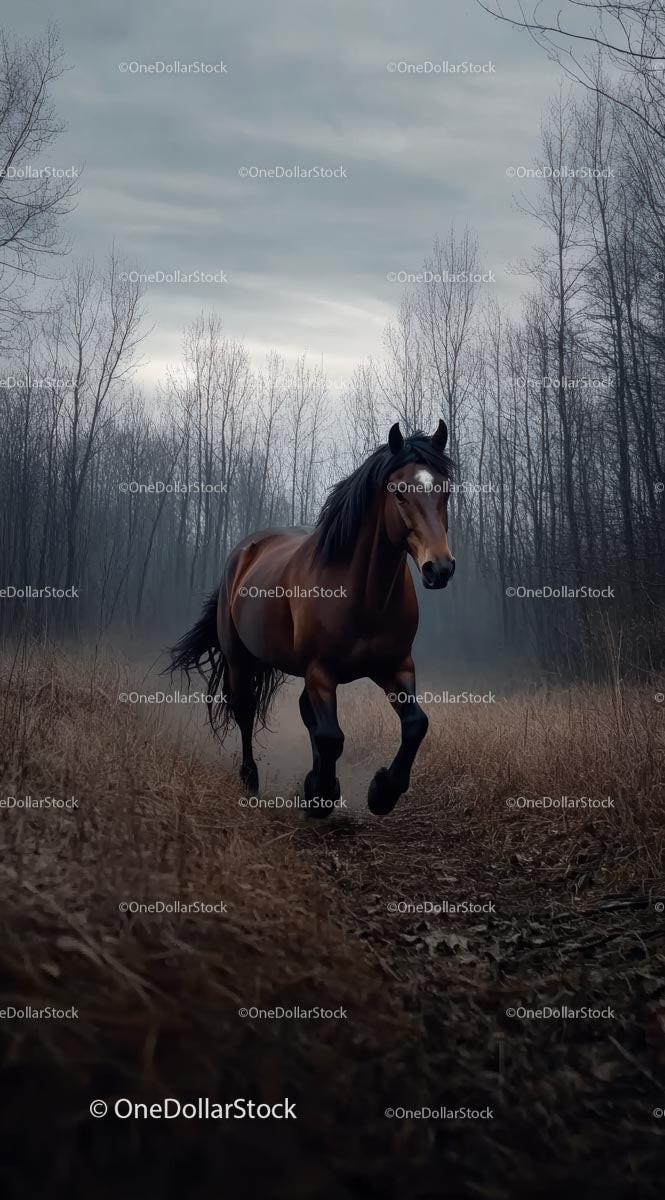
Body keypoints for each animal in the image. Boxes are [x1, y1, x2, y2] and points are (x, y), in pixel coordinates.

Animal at [170, 420, 455, 817]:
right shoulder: (321, 671)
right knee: (246, 712)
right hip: (240, 661)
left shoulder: (396, 666)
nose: (439, 568)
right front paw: (322, 795)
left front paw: (382, 791)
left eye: (446, 491)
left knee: (307, 715)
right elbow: (330, 736)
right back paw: (250, 780)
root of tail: (243, 552)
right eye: (399, 493)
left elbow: (415, 725)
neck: (364, 596)